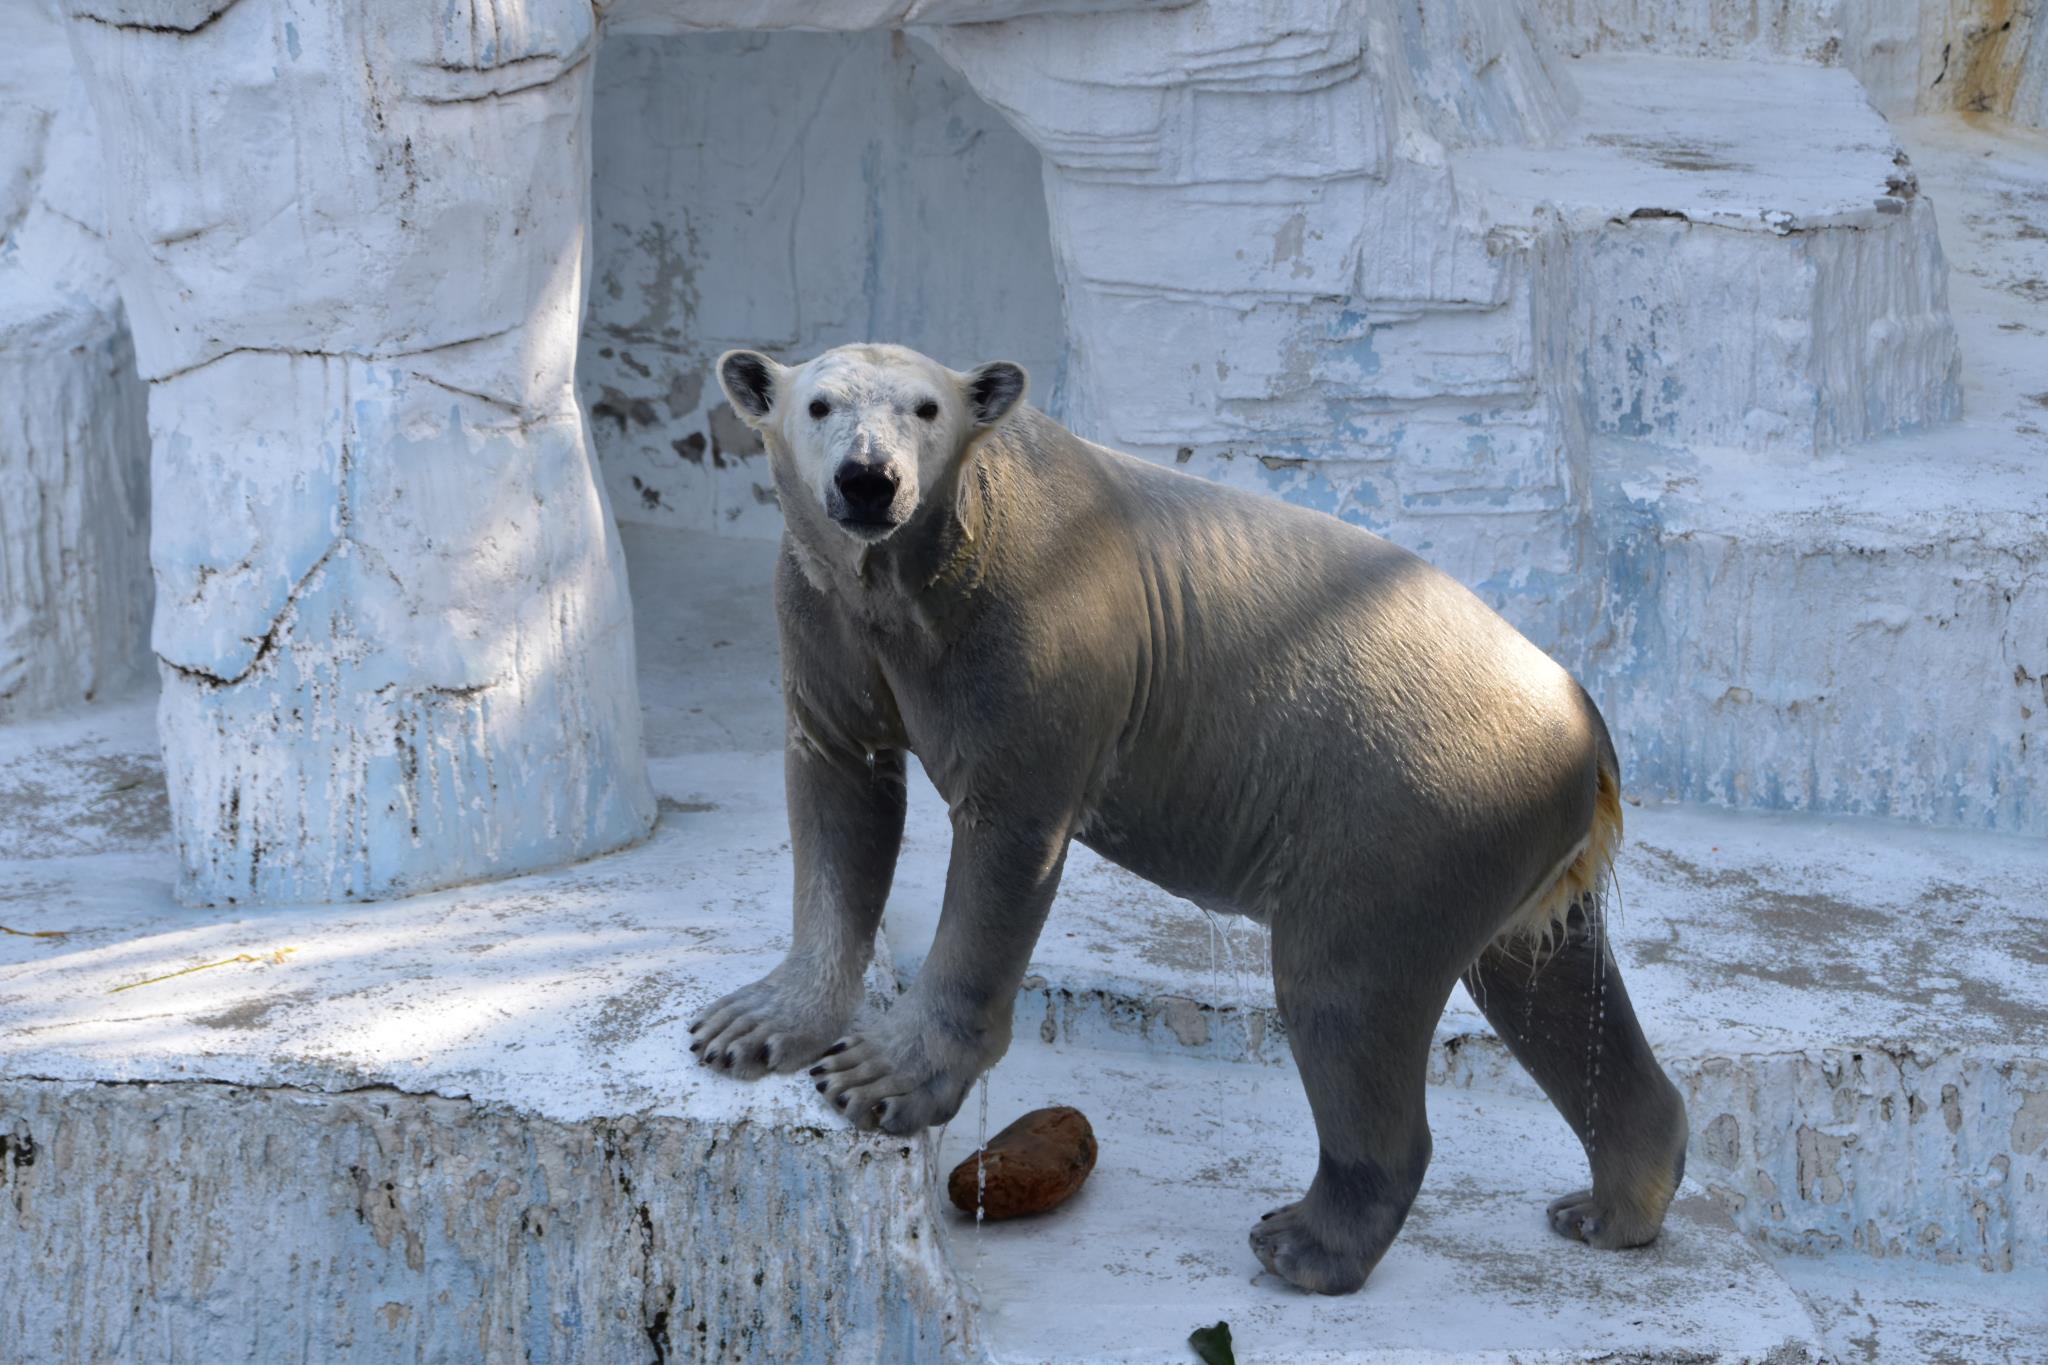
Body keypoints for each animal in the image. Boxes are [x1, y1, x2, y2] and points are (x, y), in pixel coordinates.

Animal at [684, 343, 1679, 1301]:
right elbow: (840, 782)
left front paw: (879, 1077)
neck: (921, 573)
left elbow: (1004, 838)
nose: (867, 480)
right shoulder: (825, 611)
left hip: (1416, 799)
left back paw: (1302, 1244)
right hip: (1506, 829)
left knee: (1346, 986)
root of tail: (1589, 728)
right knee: (1545, 980)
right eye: (819, 404)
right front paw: (750, 1025)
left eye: (925, 409)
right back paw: (1608, 1205)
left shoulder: (1031, 629)